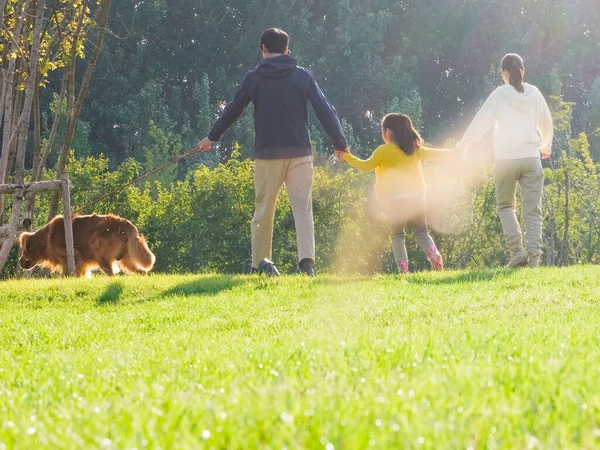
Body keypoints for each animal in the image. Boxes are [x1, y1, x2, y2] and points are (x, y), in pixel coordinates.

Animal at [18, 214, 156, 278]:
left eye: (23, 251)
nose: (19, 261)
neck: (46, 238)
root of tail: (123, 222)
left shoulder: (69, 256)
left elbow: (67, 271)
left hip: (100, 253)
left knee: (112, 274)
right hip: (127, 259)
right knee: (141, 271)